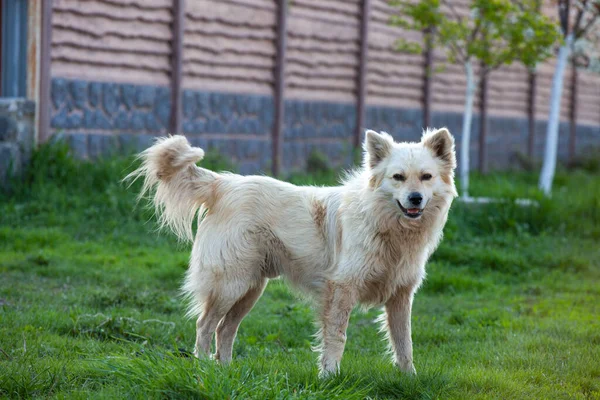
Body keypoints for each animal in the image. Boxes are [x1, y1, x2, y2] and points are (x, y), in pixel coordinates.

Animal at [126, 128, 454, 376]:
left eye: (426, 177)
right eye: (398, 177)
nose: (415, 198)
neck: (386, 224)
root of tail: (224, 184)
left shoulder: (401, 296)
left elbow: (404, 342)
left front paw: (409, 379)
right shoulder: (341, 289)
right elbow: (337, 337)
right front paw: (330, 376)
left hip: (251, 289)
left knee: (225, 329)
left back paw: (226, 372)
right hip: (230, 285)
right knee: (205, 326)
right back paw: (204, 369)